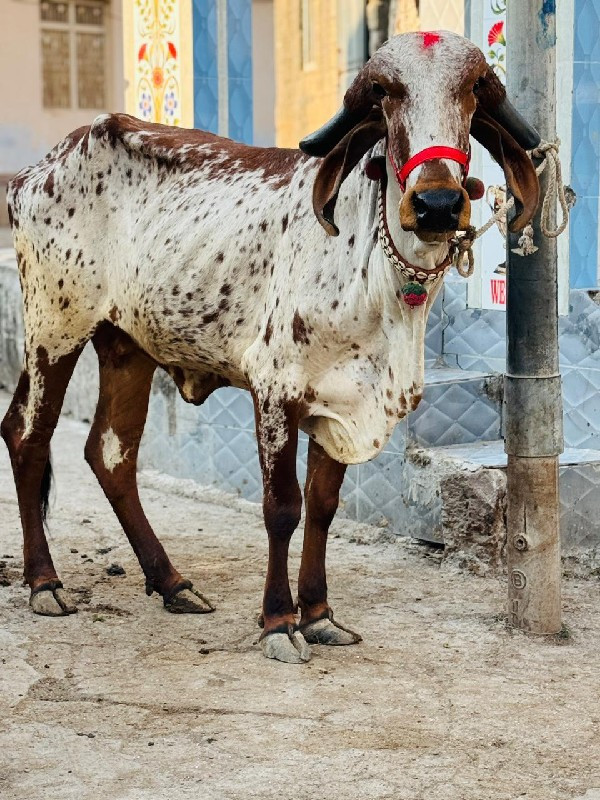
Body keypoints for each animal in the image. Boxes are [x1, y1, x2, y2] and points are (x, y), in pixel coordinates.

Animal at [2, 31, 540, 664]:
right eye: (385, 93)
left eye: (472, 90)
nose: (437, 204)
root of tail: (39, 168)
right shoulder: (276, 393)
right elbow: (282, 510)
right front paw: (279, 621)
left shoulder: (342, 403)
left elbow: (323, 509)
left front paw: (320, 614)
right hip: (54, 327)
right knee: (28, 436)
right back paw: (45, 583)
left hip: (127, 346)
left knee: (110, 455)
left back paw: (171, 582)